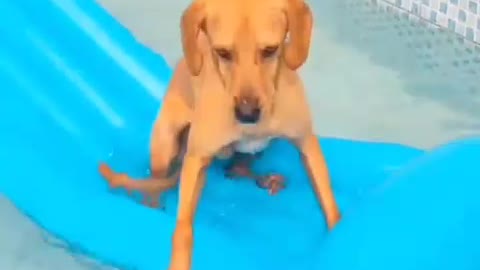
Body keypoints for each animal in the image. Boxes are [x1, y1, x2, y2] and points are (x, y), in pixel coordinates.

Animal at [100, 0, 342, 268]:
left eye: (270, 50)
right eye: (223, 53)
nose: (247, 113)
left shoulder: (307, 144)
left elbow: (329, 203)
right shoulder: (196, 160)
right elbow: (183, 229)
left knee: (239, 167)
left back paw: (261, 177)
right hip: (166, 144)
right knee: (155, 182)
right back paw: (152, 205)